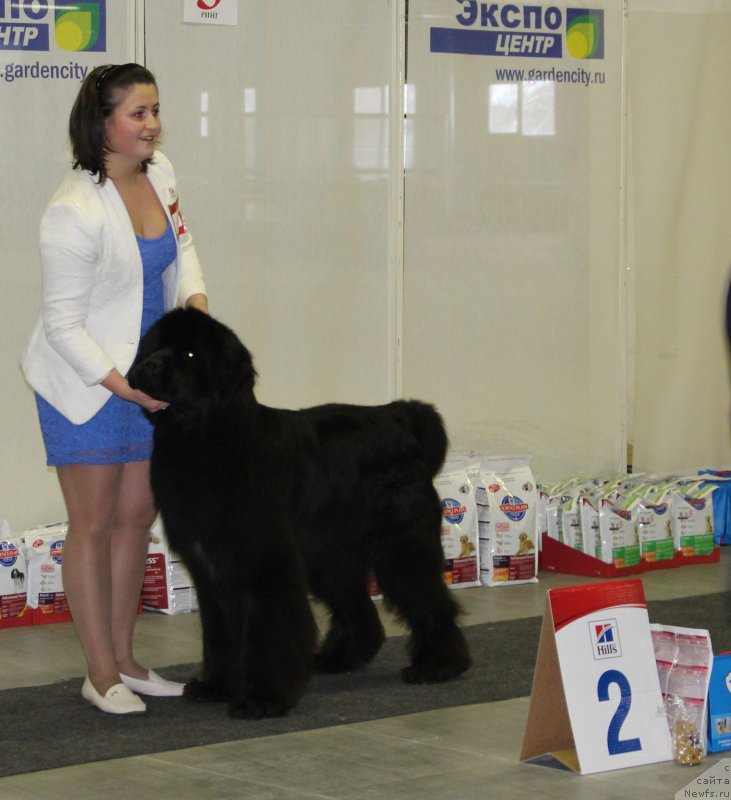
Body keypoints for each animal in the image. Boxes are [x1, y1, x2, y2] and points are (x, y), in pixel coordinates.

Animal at [129, 308, 472, 720]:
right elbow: (220, 633)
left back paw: (439, 665)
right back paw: (339, 659)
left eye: (191, 354)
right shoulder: (211, 570)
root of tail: (399, 417)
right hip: (331, 555)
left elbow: (269, 633)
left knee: (430, 600)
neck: (207, 442)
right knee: (358, 608)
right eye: (156, 346)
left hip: (400, 546)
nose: (149, 364)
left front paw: (262, 699)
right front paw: (216, 686)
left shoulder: (267, 564)